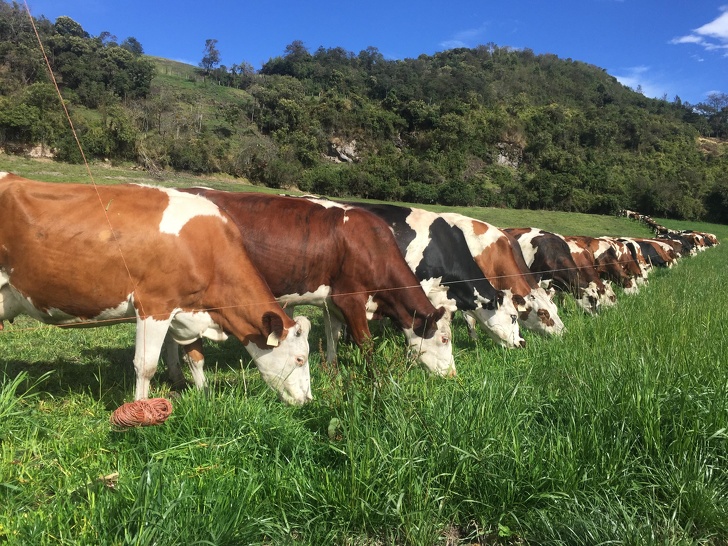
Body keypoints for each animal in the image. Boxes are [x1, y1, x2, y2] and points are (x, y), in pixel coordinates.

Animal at [0, 172, 312, 402]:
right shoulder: (154, 306)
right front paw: (140, 409)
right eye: (299, 359)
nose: (308, 400)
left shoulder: (188, 310)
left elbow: (196, 358)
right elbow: (146, 365)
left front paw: (204, 396)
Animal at [173, 188, 452, 374]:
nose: (452, 375)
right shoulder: (350, 299)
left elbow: (333, 336)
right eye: (444, 339)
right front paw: (376, 378)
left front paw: (332, 369)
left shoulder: (332, 303)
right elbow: (365, 343)